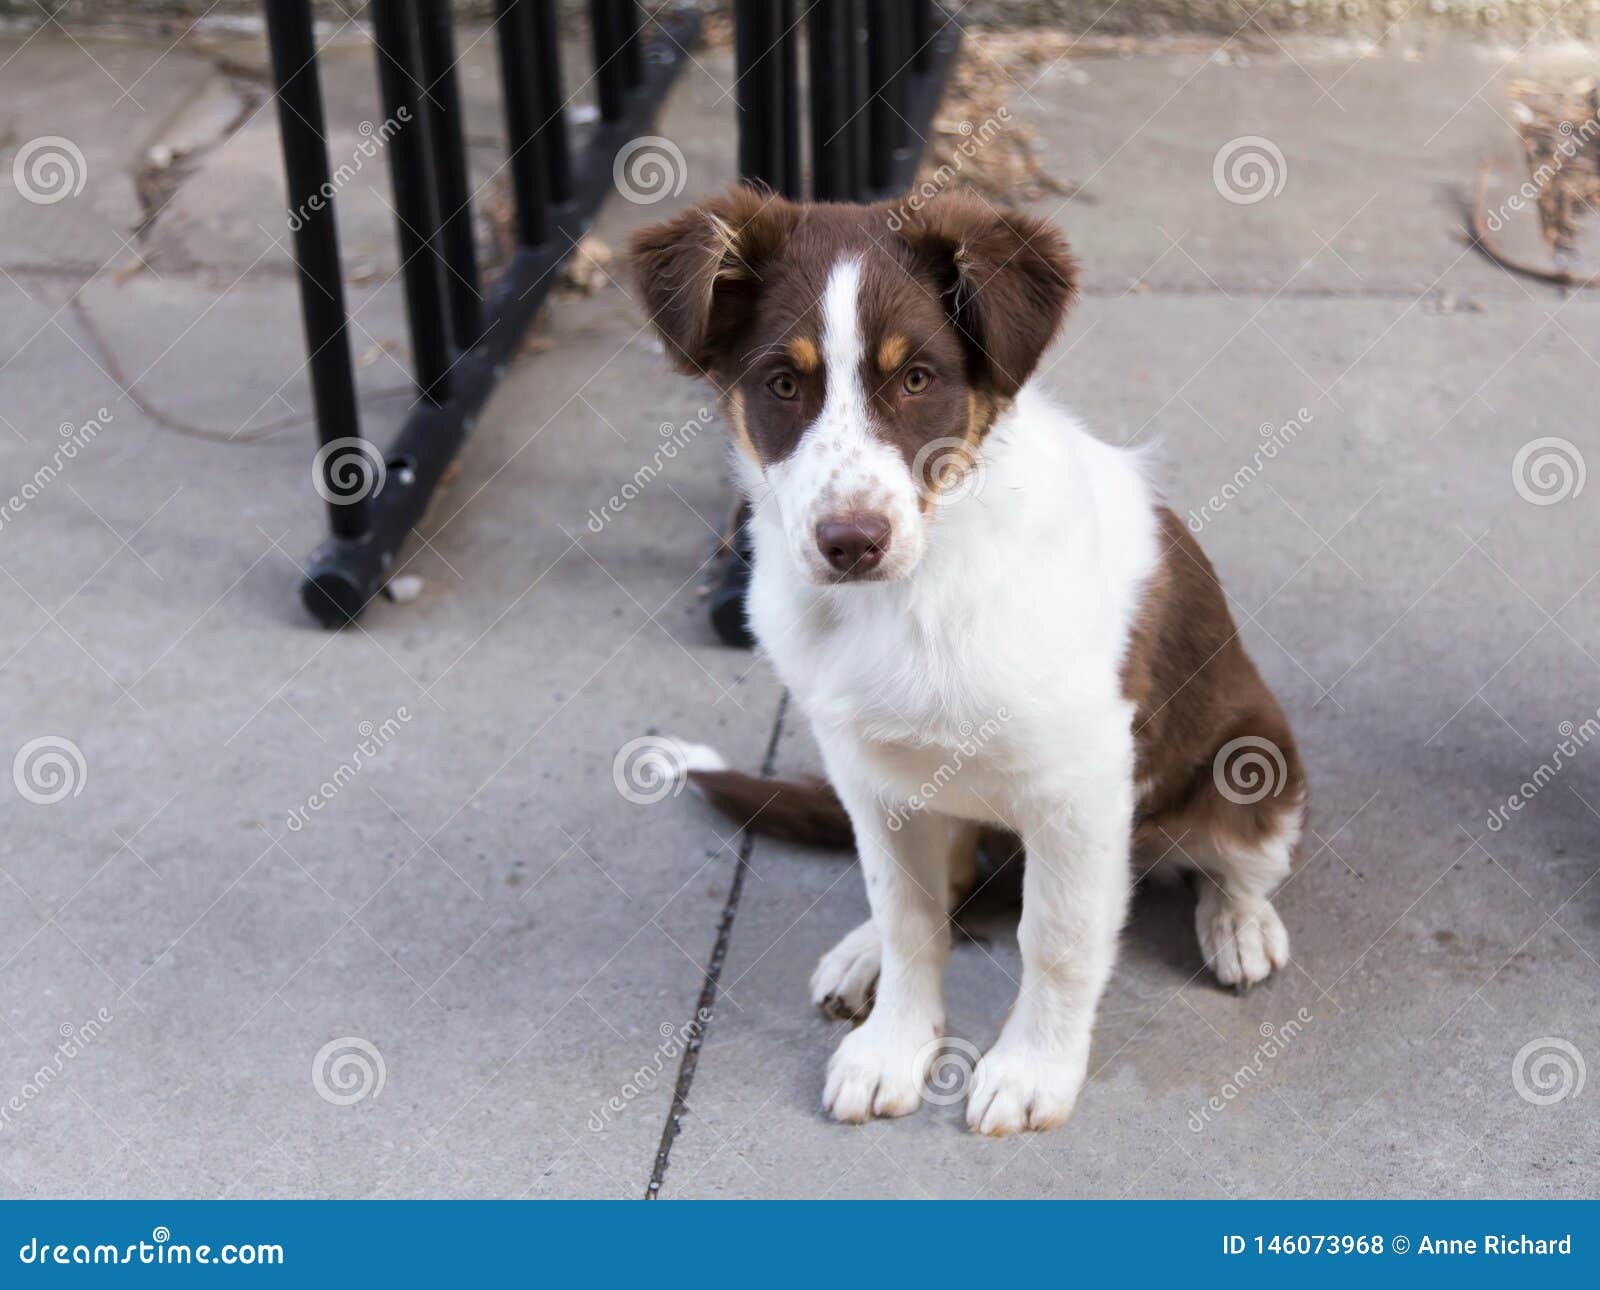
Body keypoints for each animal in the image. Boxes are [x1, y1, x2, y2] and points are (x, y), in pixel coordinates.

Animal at [624, 187, 1299, 1139]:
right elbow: (908, 917)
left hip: (1257, 757)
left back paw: (1238, 925)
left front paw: (1032, 1068)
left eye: (918, 379)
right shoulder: (870, 776)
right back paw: (862, 955)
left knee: (1233, 862)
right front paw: (893, 1044)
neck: (911, 592)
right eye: (783, 384)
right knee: (945, 888)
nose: (851, 543)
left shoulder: (1080, 785)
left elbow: (1056, 939)